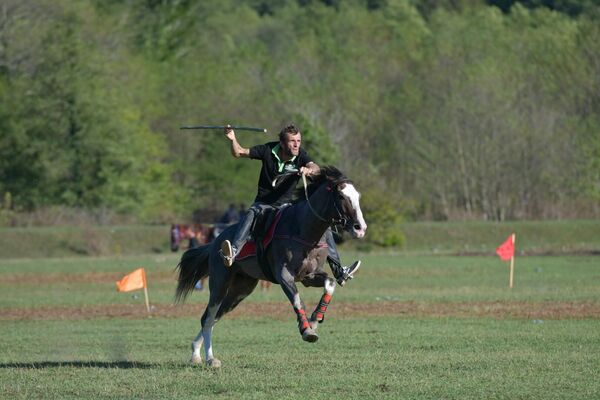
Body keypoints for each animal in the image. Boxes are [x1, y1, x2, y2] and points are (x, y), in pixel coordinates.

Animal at [176, 166, 368, 368]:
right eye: (341, 196)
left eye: (357, 196)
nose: (360, 228)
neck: (302, 229)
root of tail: (215, 242)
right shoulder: (284, 275)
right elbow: (297, 300)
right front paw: (307, 330)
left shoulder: (308, 276)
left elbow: (329, 283)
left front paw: (315, 319)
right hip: (220, 283)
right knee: (208, 317)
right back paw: (210, 358)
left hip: (240, 290)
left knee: (213, 317)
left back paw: (196, 353)